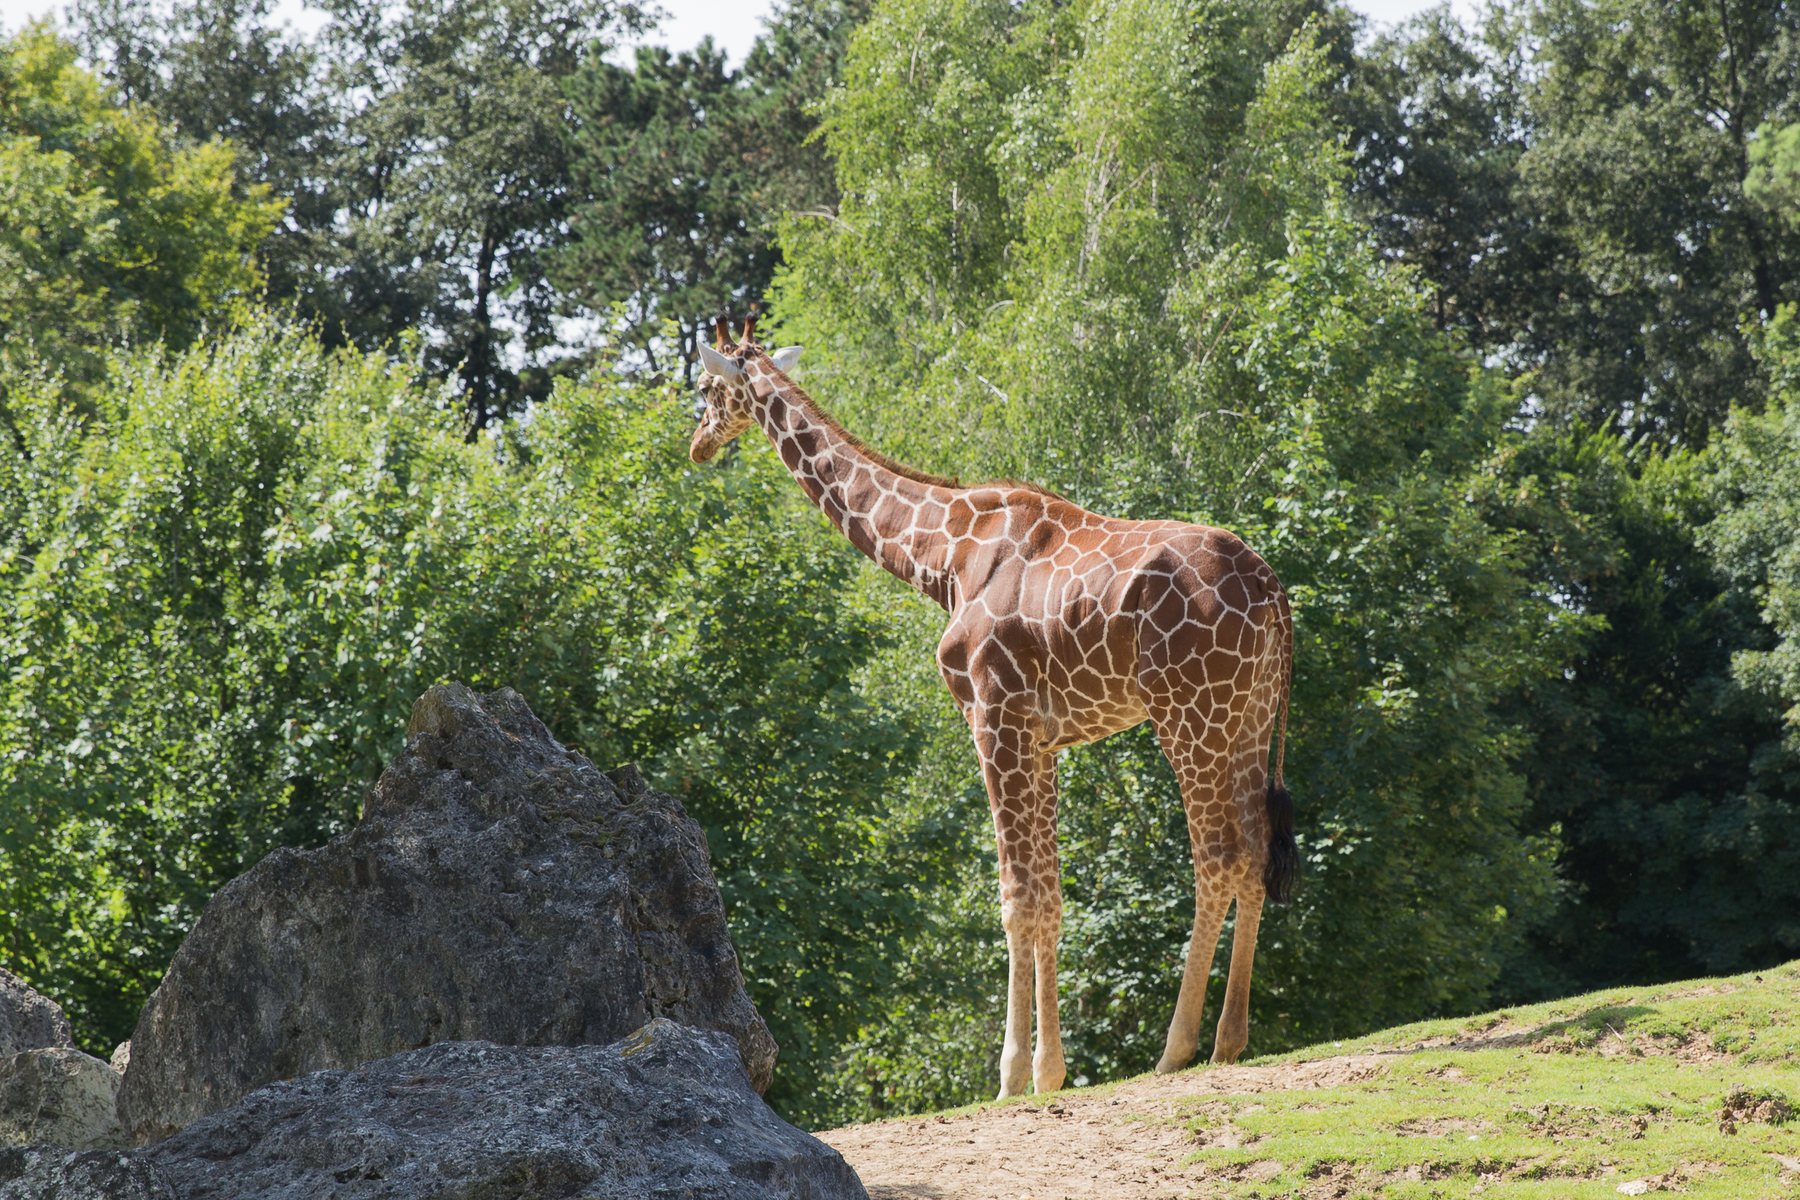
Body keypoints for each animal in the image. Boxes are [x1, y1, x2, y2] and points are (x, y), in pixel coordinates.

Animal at [689, 312, 1298, 1100]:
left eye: (705, 389)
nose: (698, 444)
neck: (942, 555)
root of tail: (1272, 589)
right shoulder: (1040, 736)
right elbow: (1051, 895)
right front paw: (1050, 1072)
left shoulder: (991, 716)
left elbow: (1016, 896)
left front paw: (1011, 1076)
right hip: (1248, 714)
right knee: (1254, 852)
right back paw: (1231, 1040)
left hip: (1190, 712)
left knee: (1218, 857)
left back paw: (1177, 1047)